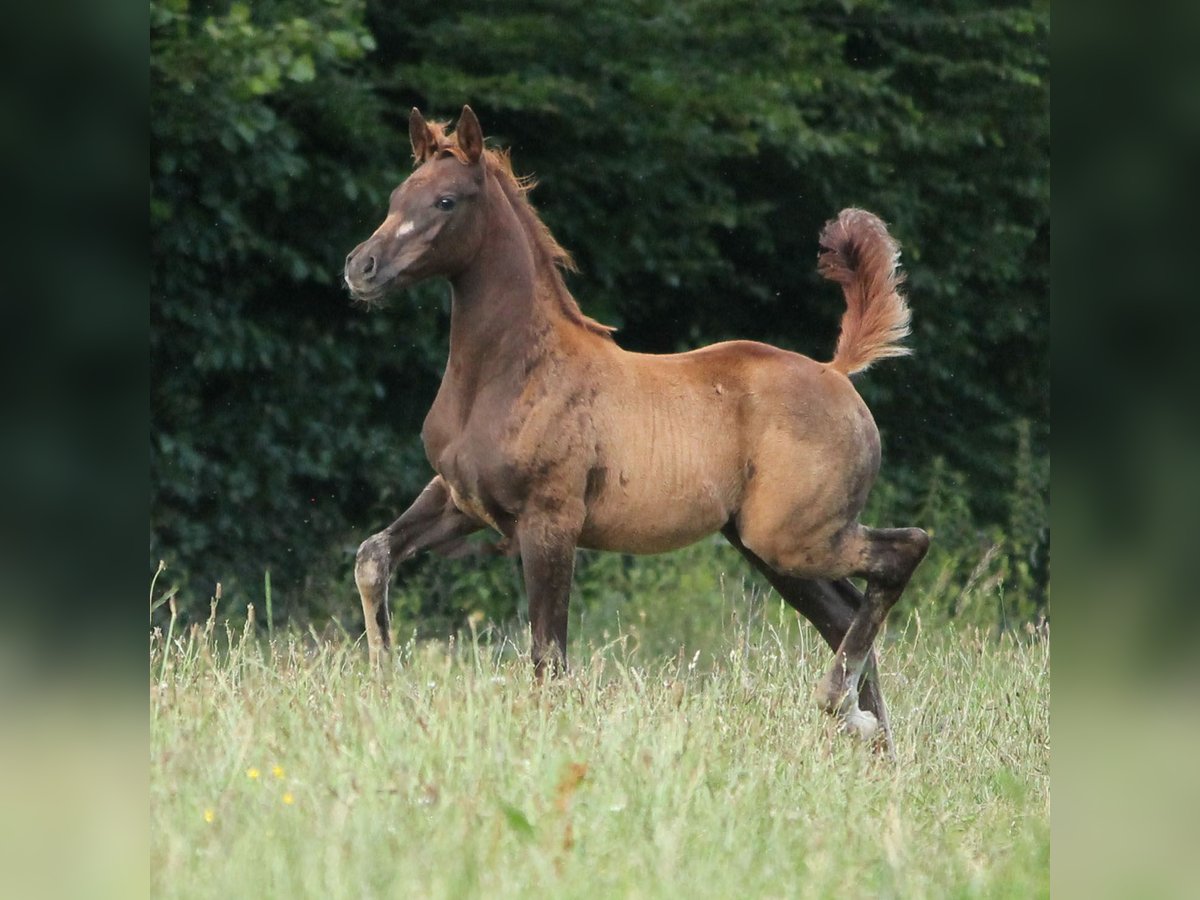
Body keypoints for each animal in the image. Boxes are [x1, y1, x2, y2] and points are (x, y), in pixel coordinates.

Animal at [343, 105, 931, 753]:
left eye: (446, 201)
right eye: (397, 196)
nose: (361, 268)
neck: (508, 372)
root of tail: (835, 373)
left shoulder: (551, 522)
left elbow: (549, 655)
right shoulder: (459, 500)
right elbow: (372, 557)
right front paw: (383, 686)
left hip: (794, 537)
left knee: (902, 553)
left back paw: (842, 707)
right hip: (770, 547)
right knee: (846, 612)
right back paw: (871, 740)